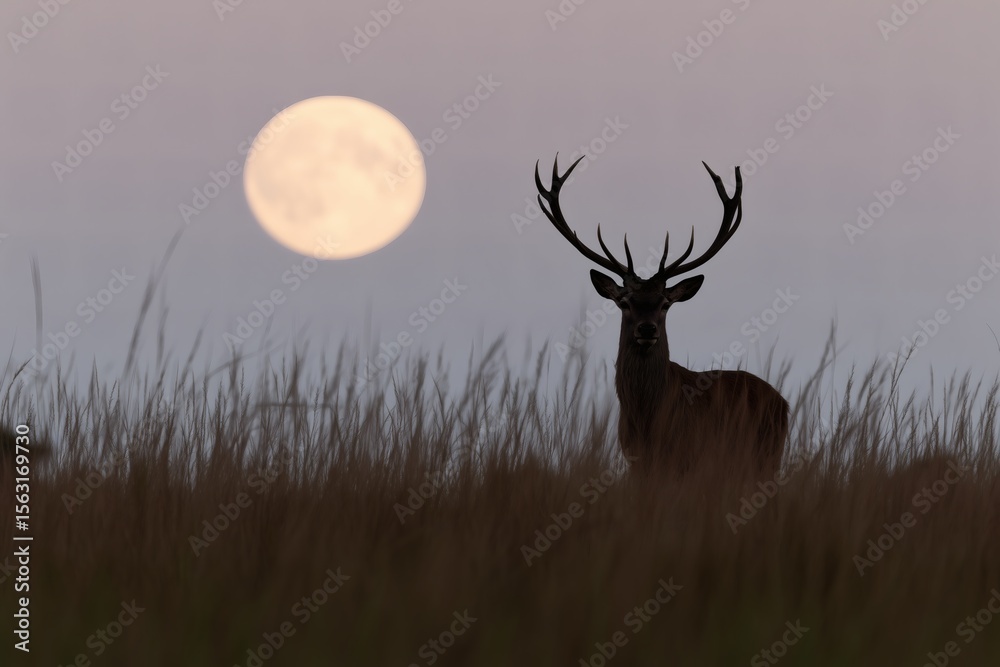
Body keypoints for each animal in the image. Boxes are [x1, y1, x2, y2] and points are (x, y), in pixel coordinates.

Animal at [534, 155, 788, 477]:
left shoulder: (690, 460)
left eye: (666, 303)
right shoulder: (634, 460)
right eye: (624, 302)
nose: (647, 329)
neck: (648, 422)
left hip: (765, 456)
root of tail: (784, 403)